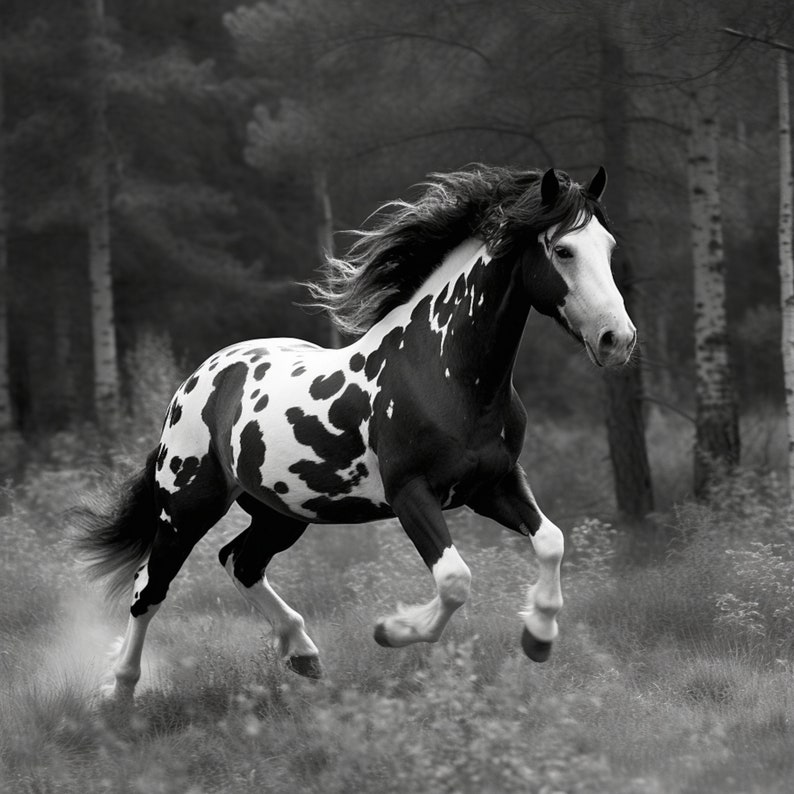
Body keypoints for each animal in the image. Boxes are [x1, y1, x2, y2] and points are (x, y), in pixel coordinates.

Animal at [75, 164, 636, 702]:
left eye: (609, 247)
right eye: (562, 249)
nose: (618, 340)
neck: (441, 373)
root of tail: (197, 381)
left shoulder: (492, 486)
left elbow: (551, 542)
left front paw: (538, 637)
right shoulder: (411, 494)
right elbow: (455, 580)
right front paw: (392, 630)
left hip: (283, 512)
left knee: (240, 561)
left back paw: (302, 654)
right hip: (186, 507)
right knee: (150, 588)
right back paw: (119, 690)